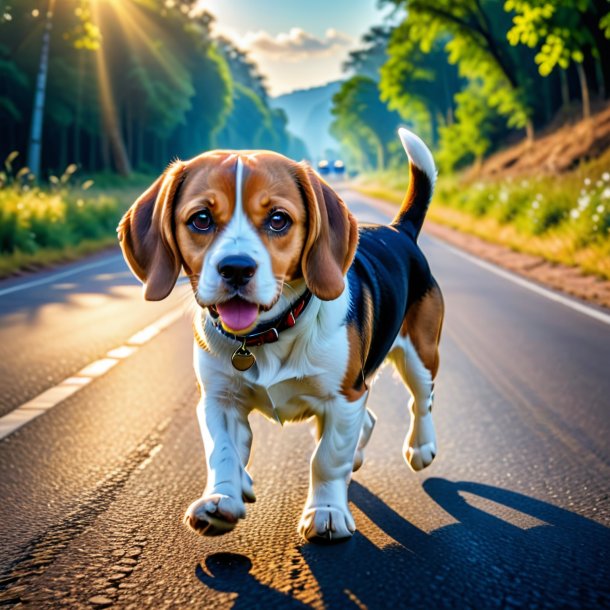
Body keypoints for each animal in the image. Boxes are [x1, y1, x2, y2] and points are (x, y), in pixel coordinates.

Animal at [119, 128, 442, 540]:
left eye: (277, 220)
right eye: (201, 219)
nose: (236, 268)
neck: (265, 334)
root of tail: (399, 230)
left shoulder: (343, 396)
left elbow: (326, 459)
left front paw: (326, 512)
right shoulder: (218, 400)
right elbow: (223, 451)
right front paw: (222, 499)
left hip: (420, 352)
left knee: (421, 400)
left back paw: (420, 447)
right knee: (369, 421)